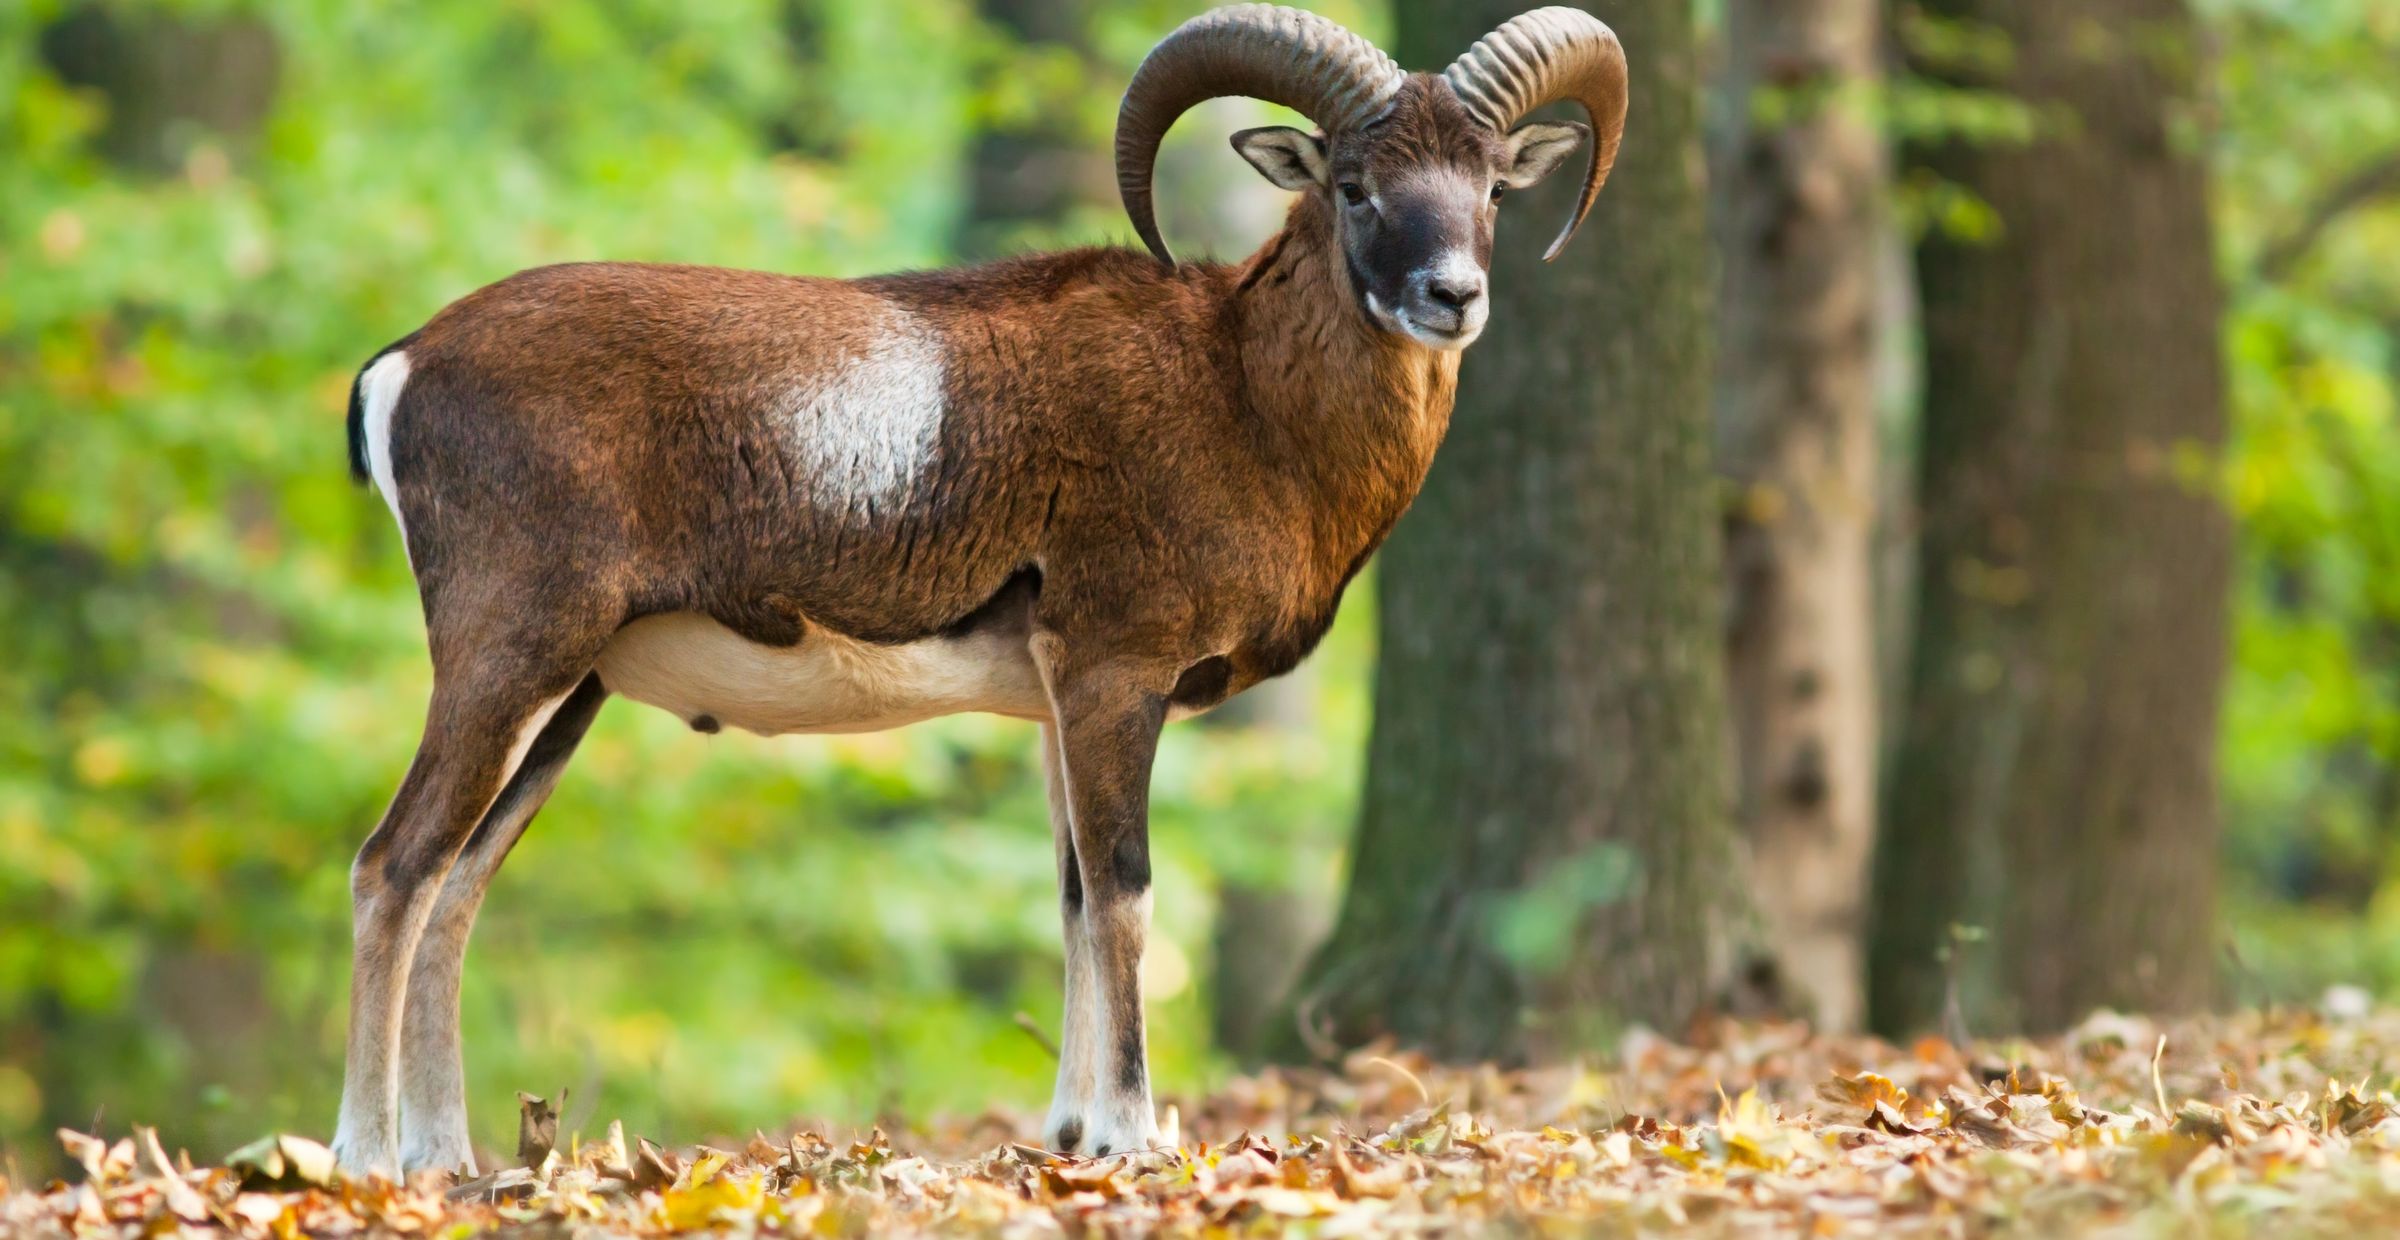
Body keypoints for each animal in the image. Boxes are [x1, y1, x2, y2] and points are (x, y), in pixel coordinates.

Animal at [331, 3, 1627, 1177]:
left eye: (1492, 190)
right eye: (1356, 187)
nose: (1453, 296)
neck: (1245, 401)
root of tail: (405, 365)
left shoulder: (1056, 707)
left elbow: (1071, 900)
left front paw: (1068, 1138)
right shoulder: (1114, 679)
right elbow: (1125, 896)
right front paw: (1127, 1138)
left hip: (567, 698)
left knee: (456, 886)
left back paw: (448, 1161)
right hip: (507, 661)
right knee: (393, 868)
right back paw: (367, 1161)